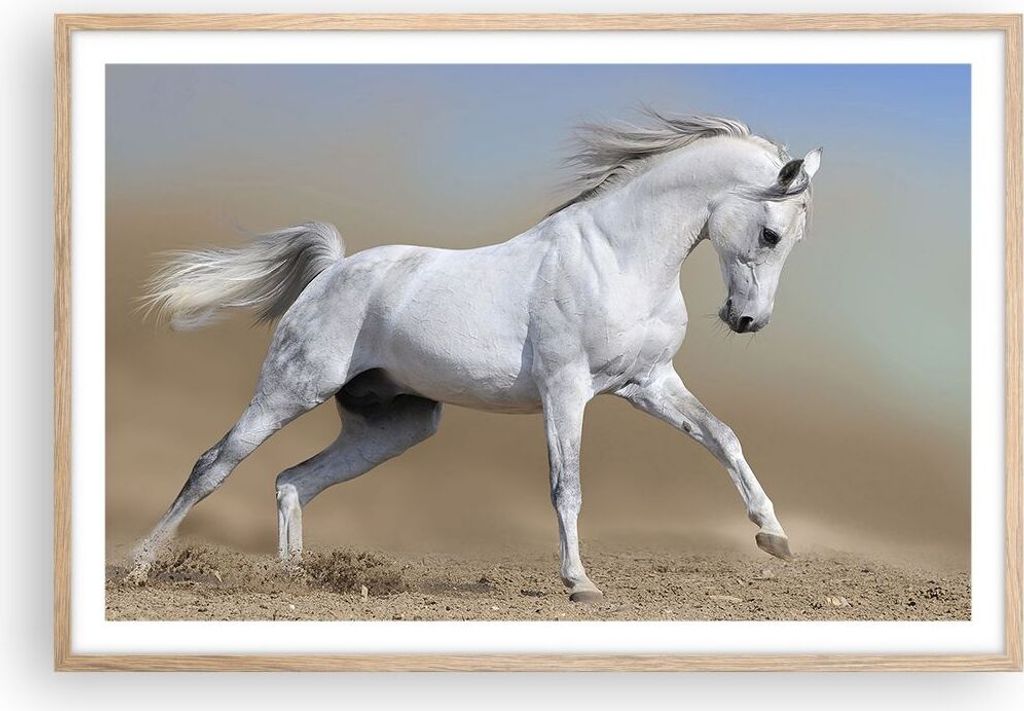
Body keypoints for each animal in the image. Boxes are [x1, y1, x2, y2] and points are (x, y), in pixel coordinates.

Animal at [130, 112, 822, 602]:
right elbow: (567, 485)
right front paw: (579, 583)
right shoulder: (566, 390)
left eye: (792, 239)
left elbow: (723, 437)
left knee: (293, 480)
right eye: (771, 234)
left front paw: (774, 537)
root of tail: (331, 271)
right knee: (214, 464)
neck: (617, 258)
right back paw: (140, 565)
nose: (747, 320)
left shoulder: (648, 383)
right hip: (290, 389)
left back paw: (294, 579)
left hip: (396, 425)